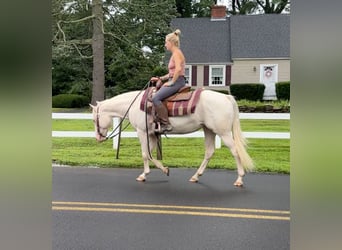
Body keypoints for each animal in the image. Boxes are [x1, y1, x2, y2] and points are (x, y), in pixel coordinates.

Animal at [91, 89, 254, 187]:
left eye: (94, 120)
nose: (98, 138)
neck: (135, 105)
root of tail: (226, 97)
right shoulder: (152, 134)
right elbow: (150, 154)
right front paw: (163, 169)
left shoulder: (142, 132)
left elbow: (144, 154)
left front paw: (144, 175)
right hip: (209, 130)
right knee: (209, 152)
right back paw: (196, 176)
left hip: (223, 132)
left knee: (235, 151)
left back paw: (239, 179)